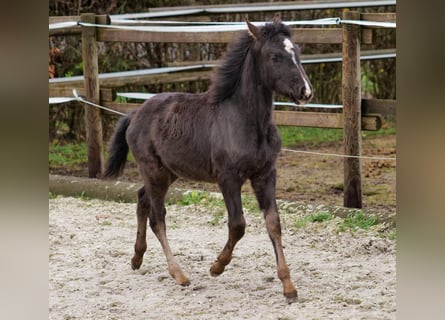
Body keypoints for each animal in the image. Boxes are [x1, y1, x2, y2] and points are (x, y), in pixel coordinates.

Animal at [104, 17, 312, 302]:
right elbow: (238, 225)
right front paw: (217, 266)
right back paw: (178, 274)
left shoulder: (266, 174)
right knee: (157, 217)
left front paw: (288, 286)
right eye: (275, 56)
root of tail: (134, 114)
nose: (305, 91)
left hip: (167, 172)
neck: (245, 121)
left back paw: (137, 258)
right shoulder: (228, 178)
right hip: (153, 171)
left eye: (298, 53)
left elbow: (273, 223)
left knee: (141, 199)